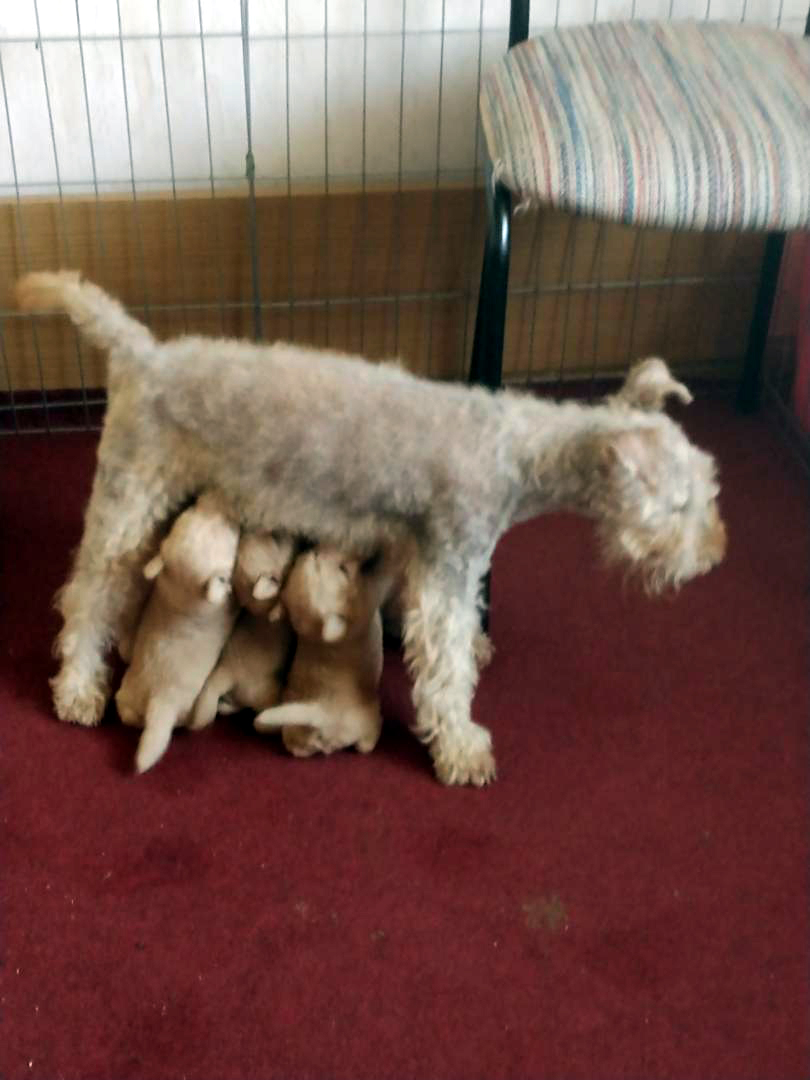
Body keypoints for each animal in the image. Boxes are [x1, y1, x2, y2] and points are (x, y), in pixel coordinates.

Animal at [114, 492, 239, 773]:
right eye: (229, 530)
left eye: (190, 509)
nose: (214, 493)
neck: (181, 591)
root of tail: (156, 702)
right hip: (186, 706)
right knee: (194, 721)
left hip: (128, 696)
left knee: (125, 711)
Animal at [189, 529, 296, 729]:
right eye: (276, 538)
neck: (258, 611)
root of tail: (230, 676)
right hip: (267, 695)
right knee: (257, 716)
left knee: (237, 706)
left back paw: (223, 707)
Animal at [254, 544, 388, 758]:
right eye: (343, 569)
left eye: (315, 558)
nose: (313, 550)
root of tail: (321, 715)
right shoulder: (370, 595)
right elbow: (379, 580)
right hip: (366, 719)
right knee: (369, 736)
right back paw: (369, 743)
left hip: (294, 725)